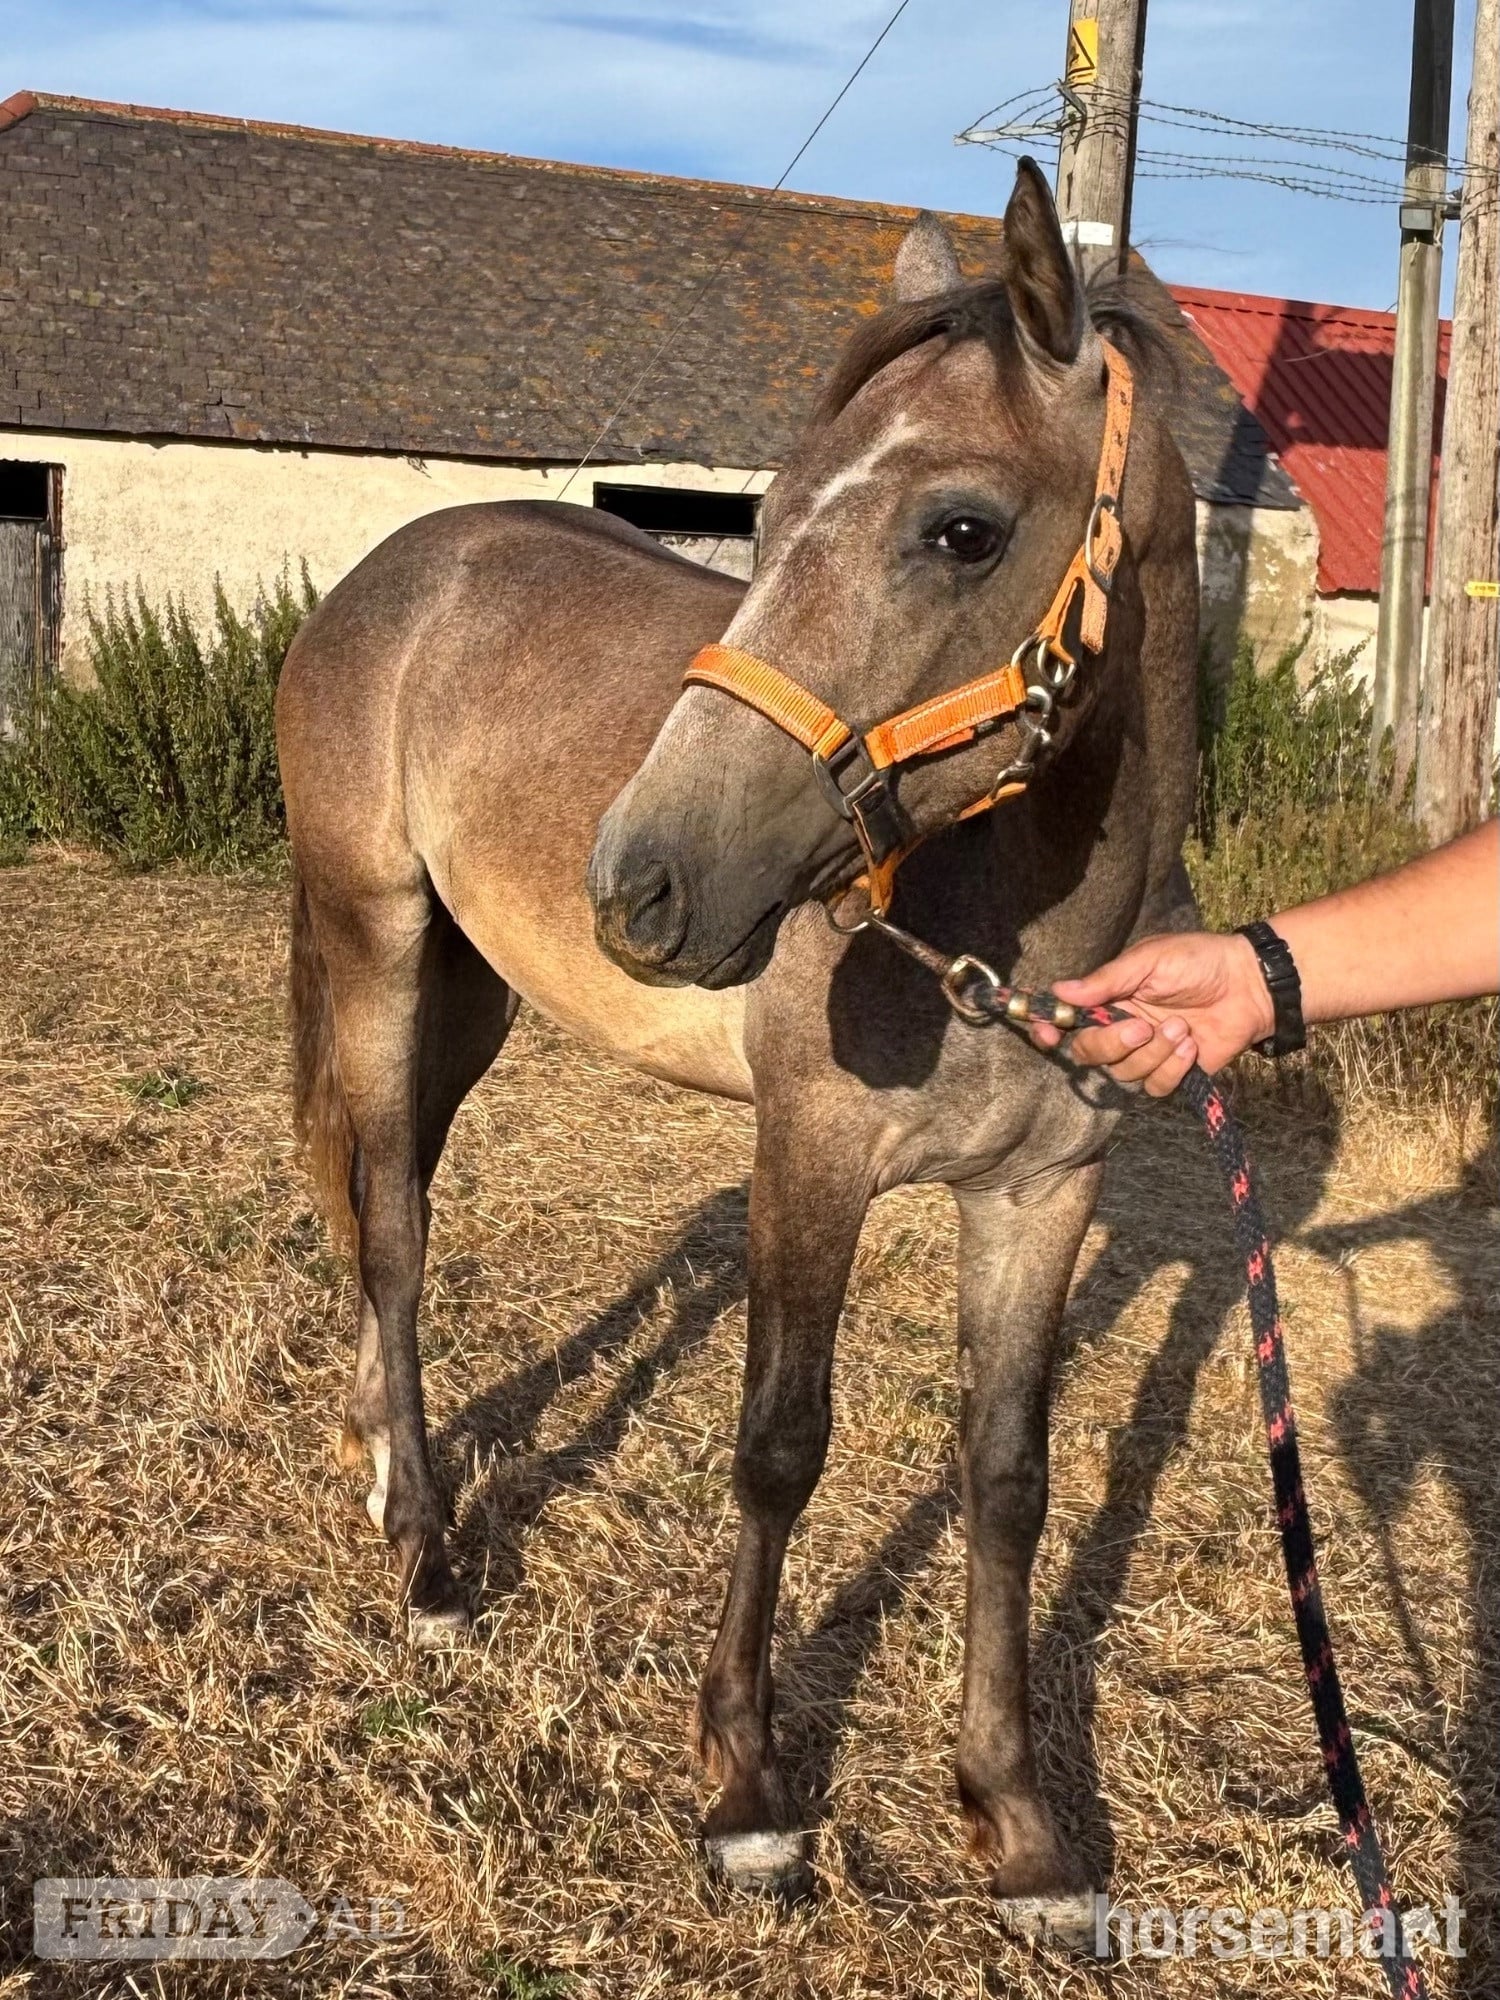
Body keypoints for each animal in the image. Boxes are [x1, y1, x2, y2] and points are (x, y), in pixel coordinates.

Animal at [276, 157, 1199, 1933]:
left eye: (961, 528)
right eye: (763, 523)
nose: (643, 879)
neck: (1003, 915)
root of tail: (388, 573)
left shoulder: (1044, 1196)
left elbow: (1008, 1478)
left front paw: (1018, 1822)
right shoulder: (810, 1157)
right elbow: (780, 1447)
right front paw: (747, 1788)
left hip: (472, 998)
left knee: (378, 1194)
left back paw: (370, 1454)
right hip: (377, 946)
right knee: (400, 1235)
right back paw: (425, 1551)